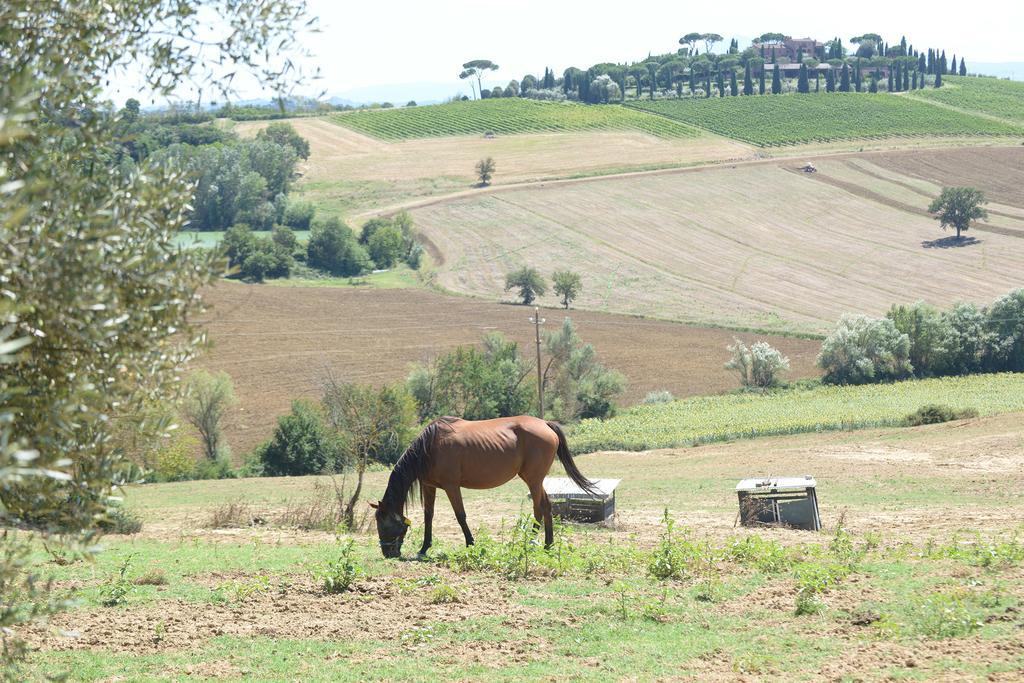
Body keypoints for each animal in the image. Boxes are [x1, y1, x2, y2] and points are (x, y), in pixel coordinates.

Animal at [370, 413, 598, 557]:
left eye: (383, 523)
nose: (387, 552)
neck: (429, 448)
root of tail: (545, 424)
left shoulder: (452, 486)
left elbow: (460, 515)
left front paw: (470, 543)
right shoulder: (429, 486)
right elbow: (429, 516)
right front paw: (424, 548)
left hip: (533, 479)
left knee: (539, 507)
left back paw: (538, 543)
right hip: (536, 480)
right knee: (546, 507)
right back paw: (546, 544)